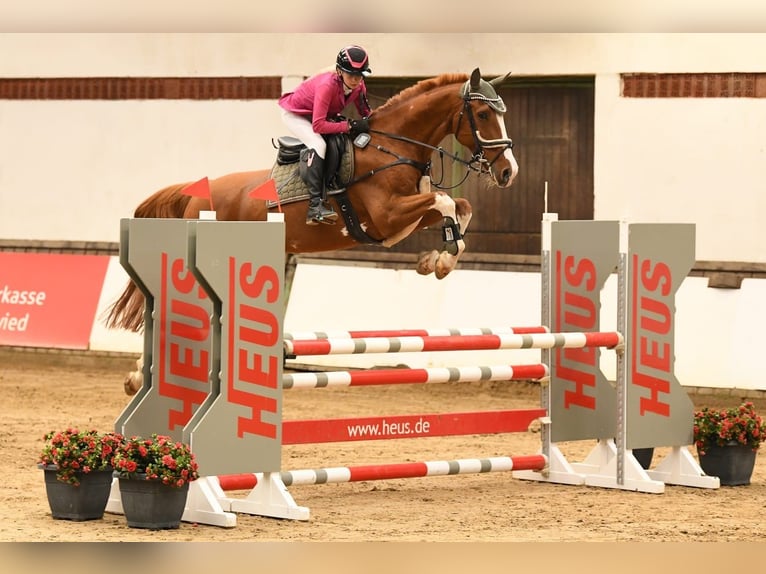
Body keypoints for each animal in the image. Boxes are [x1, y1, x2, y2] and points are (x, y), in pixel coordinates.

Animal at [105, 67, 518, 394]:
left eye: (501, 114)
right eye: (483, 113)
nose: (508, 172)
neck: (391, 146)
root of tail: (194, 193)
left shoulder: (403, 217)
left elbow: (460, 208)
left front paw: (435, 261)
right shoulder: (387, 216)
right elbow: (446, 203)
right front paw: (439, 261)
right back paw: (140, 377)